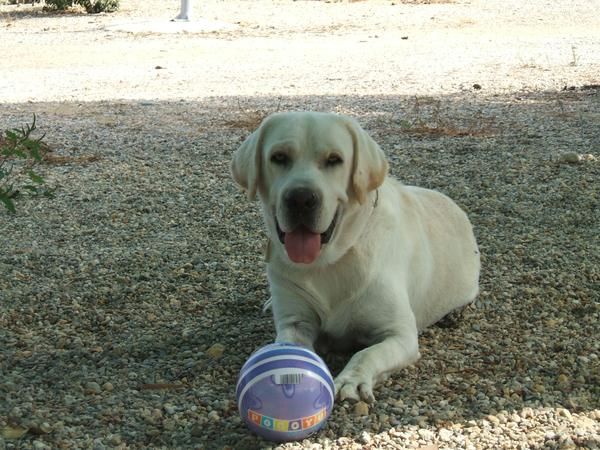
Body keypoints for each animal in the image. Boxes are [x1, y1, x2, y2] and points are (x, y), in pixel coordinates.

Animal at [232, 110, 480, 402]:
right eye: (279, 157)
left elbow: (367, 353)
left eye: (334, 160)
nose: (301, 199)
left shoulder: (400, 334)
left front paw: (352, 380)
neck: (329, 261)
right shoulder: (295, 322)